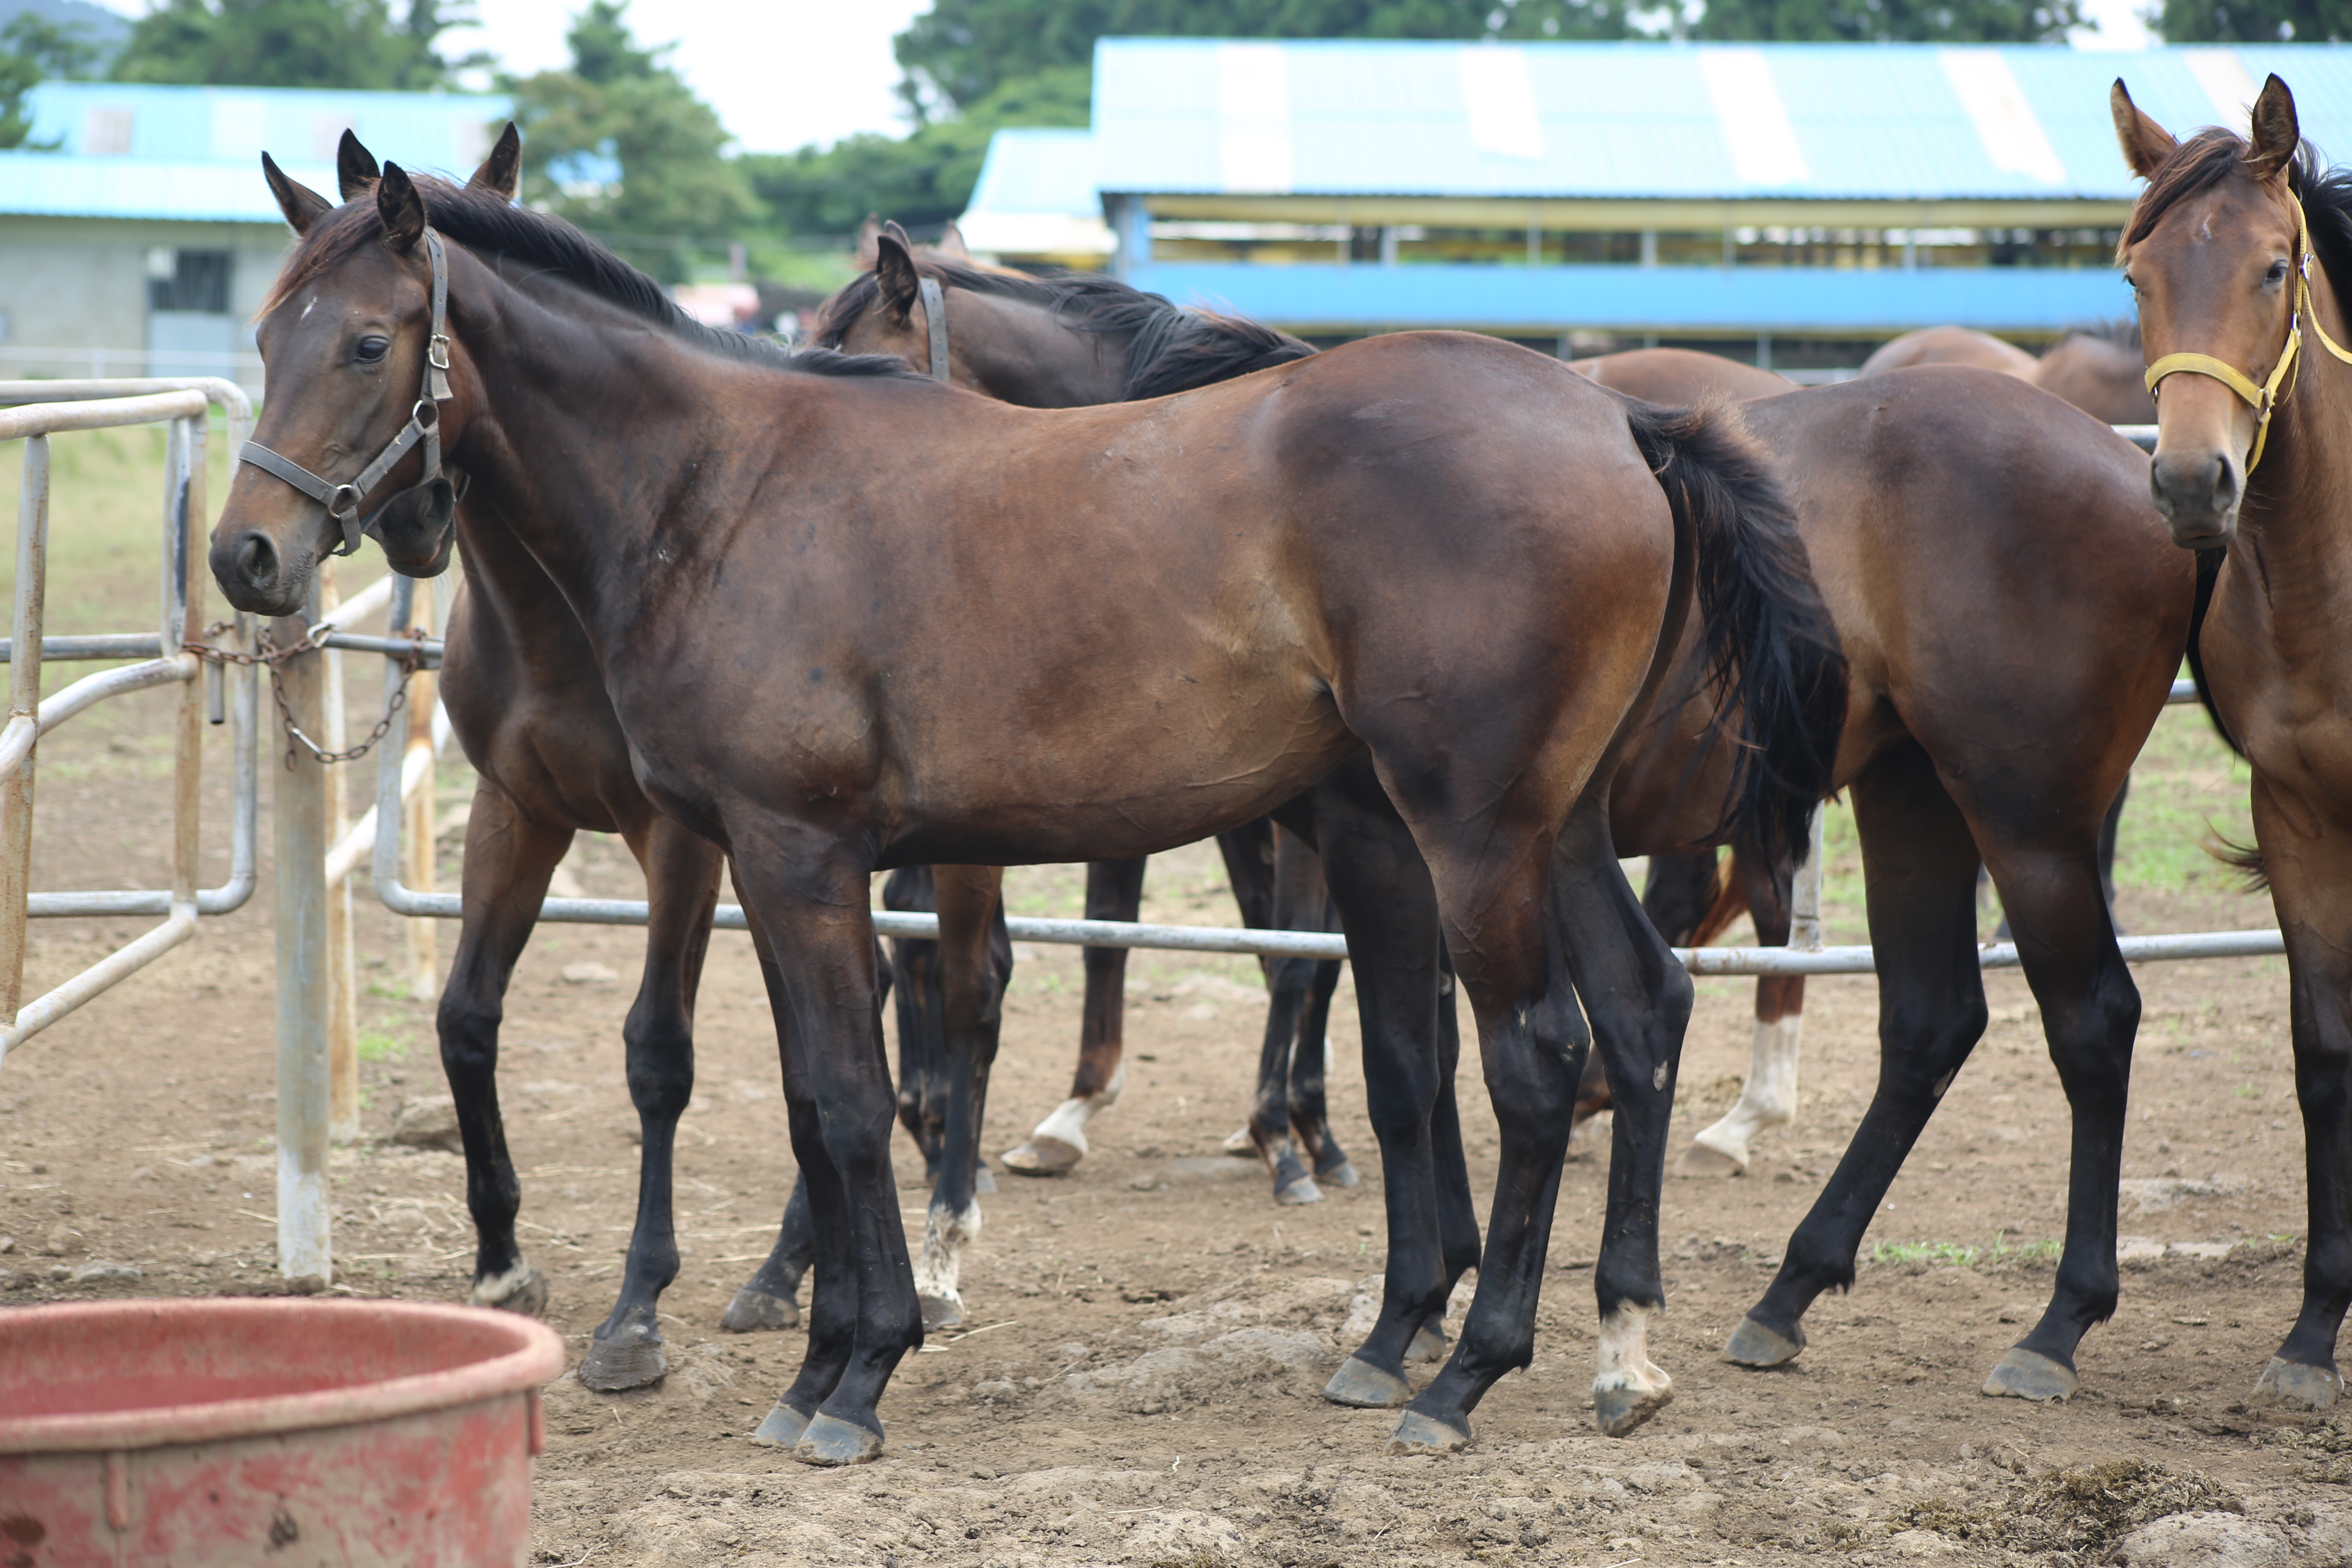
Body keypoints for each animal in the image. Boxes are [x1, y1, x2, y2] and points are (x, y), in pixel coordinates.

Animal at [212, 147, 1844, 1457]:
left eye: (369, 340)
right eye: (266, 332)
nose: (246, 557)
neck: (721, 489)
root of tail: (1619, 422)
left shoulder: (796, 852)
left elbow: (854, 1096)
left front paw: (858, 1373)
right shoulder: (772, 860)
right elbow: (820, 1095)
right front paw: (824, 1351)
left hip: (1476, 833)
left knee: (1538, 1058)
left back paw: (1468, 1377)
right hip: (1551, 830)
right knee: (1636, 1011)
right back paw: (1617, 1347)